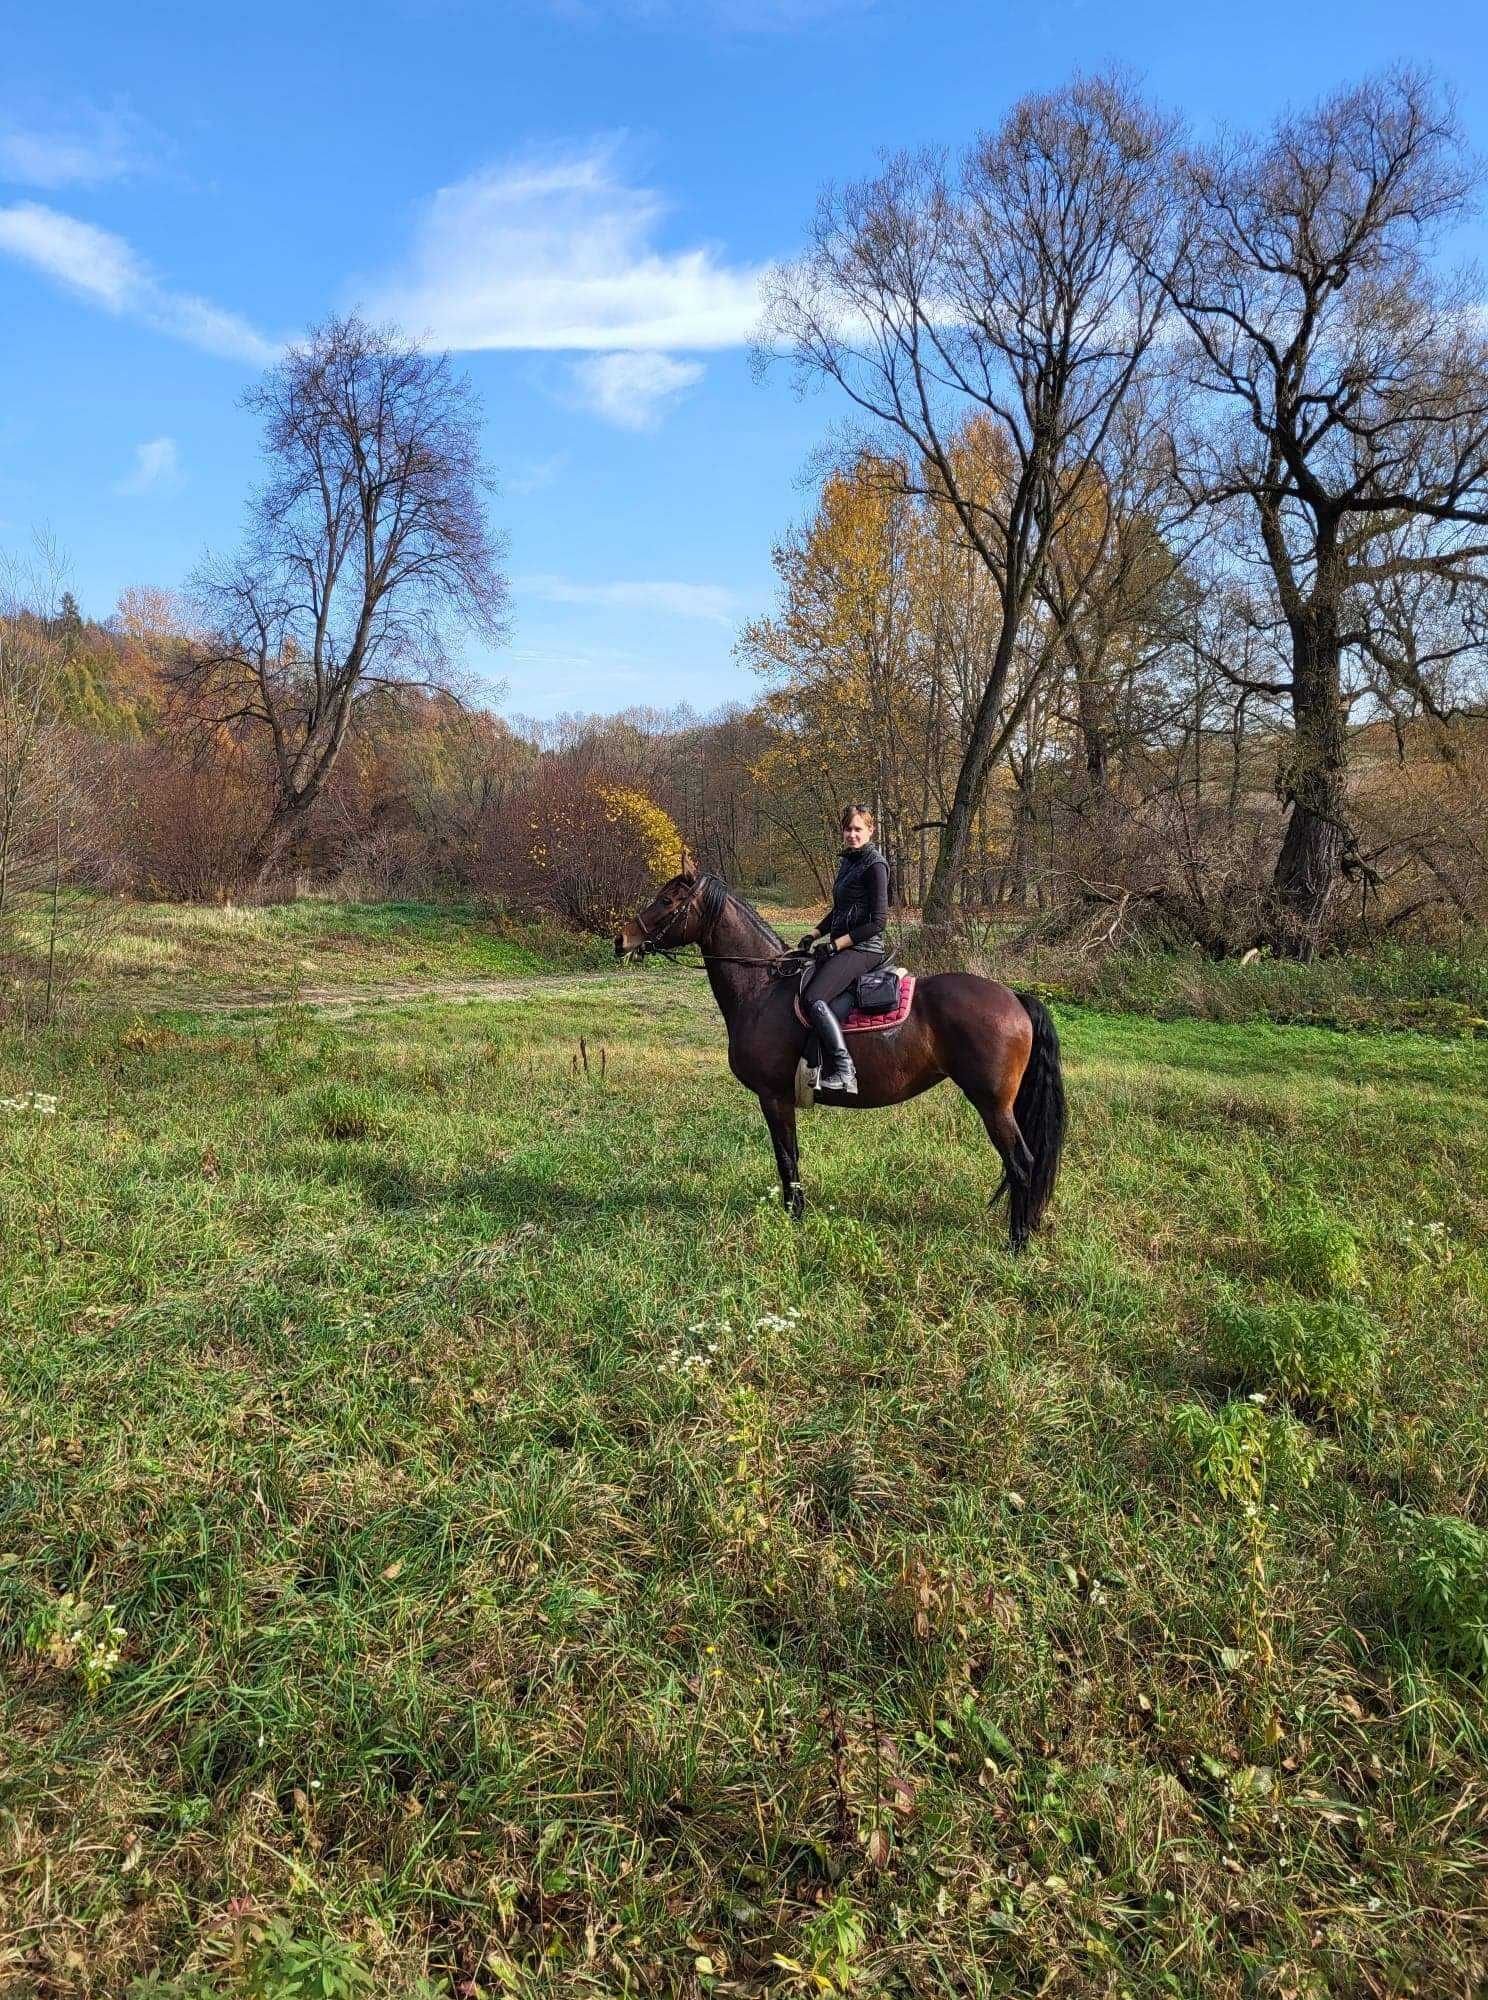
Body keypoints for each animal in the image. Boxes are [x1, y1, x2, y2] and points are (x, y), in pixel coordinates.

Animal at [620, 856, 1072, 1248]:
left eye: (667, 901)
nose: (621, 939)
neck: (763, 989)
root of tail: (1014, 998)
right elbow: (789, 1156)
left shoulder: (774, 1096)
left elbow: (787, 1157)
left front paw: (795, 1217)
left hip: (993, 1104)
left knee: (1021, 1164)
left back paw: (1017, 1244)